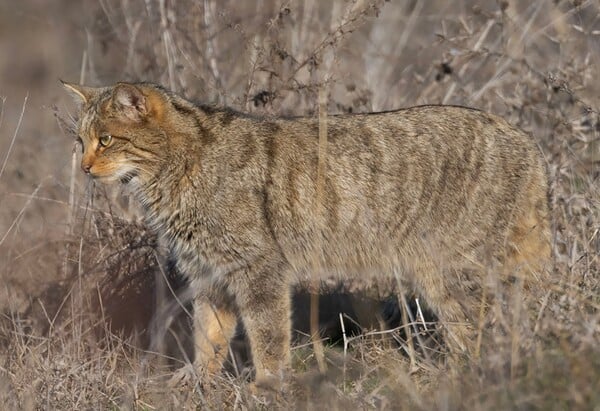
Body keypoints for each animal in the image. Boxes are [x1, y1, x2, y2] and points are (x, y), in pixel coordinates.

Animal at [63, 80, 552, 390]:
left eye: (106, 139)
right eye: (80, 140)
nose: (83, 167)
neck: (177, 171)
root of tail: (528, 142)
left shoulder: (259, 268)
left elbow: (267, 332)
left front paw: (267, 384)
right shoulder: (209, 274)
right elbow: (210, 334)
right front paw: (199, 379)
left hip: (451, 271)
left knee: (484, 324)